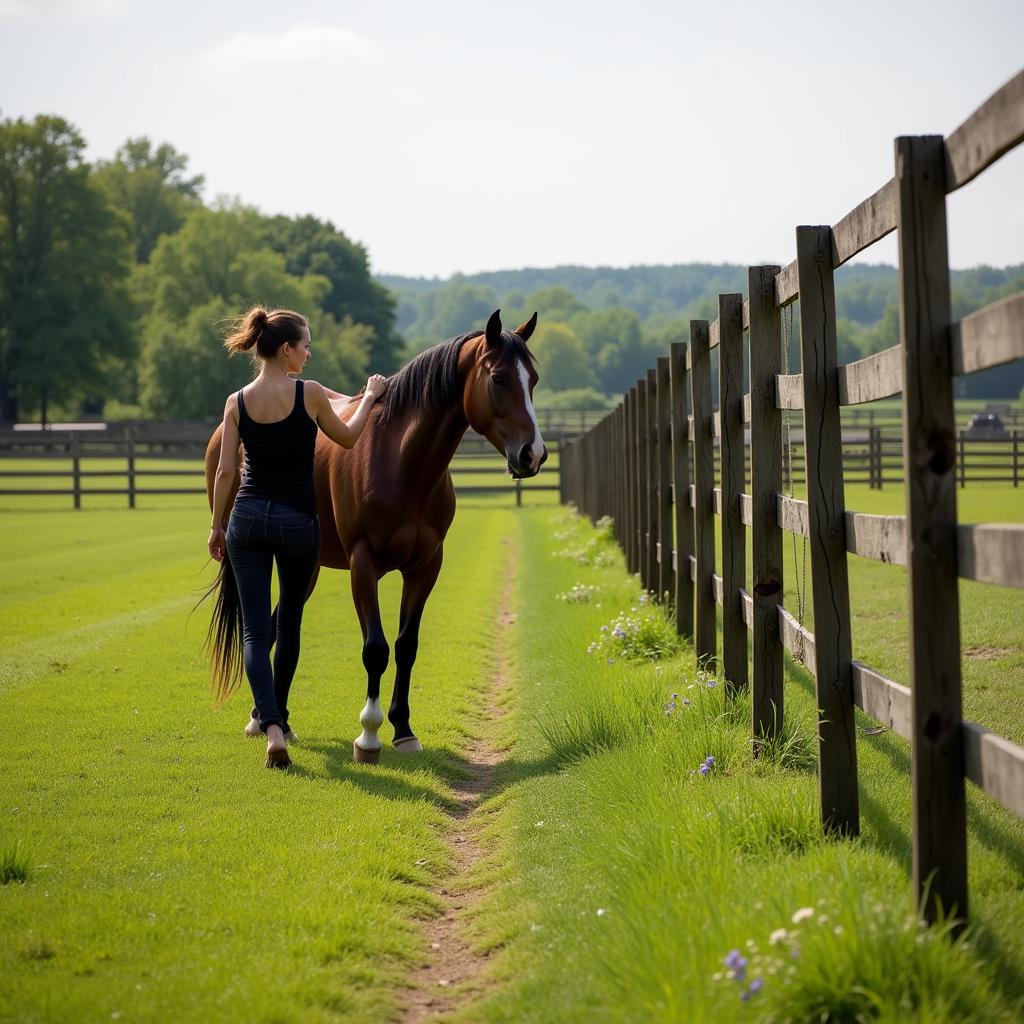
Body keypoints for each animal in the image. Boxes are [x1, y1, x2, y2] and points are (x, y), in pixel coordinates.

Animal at [202, 307, 548, 765]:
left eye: (534, 379)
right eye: (499, 378)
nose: (534, 453)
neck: (402, 460)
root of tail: (222, 433)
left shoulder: (426, 566)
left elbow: (405, 646)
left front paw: (403, 730)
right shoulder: (363, 564)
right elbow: (376, 649)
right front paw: (368, 735)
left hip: (307, 565)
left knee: (277, 626)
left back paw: (274, 720)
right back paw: (267, 721)